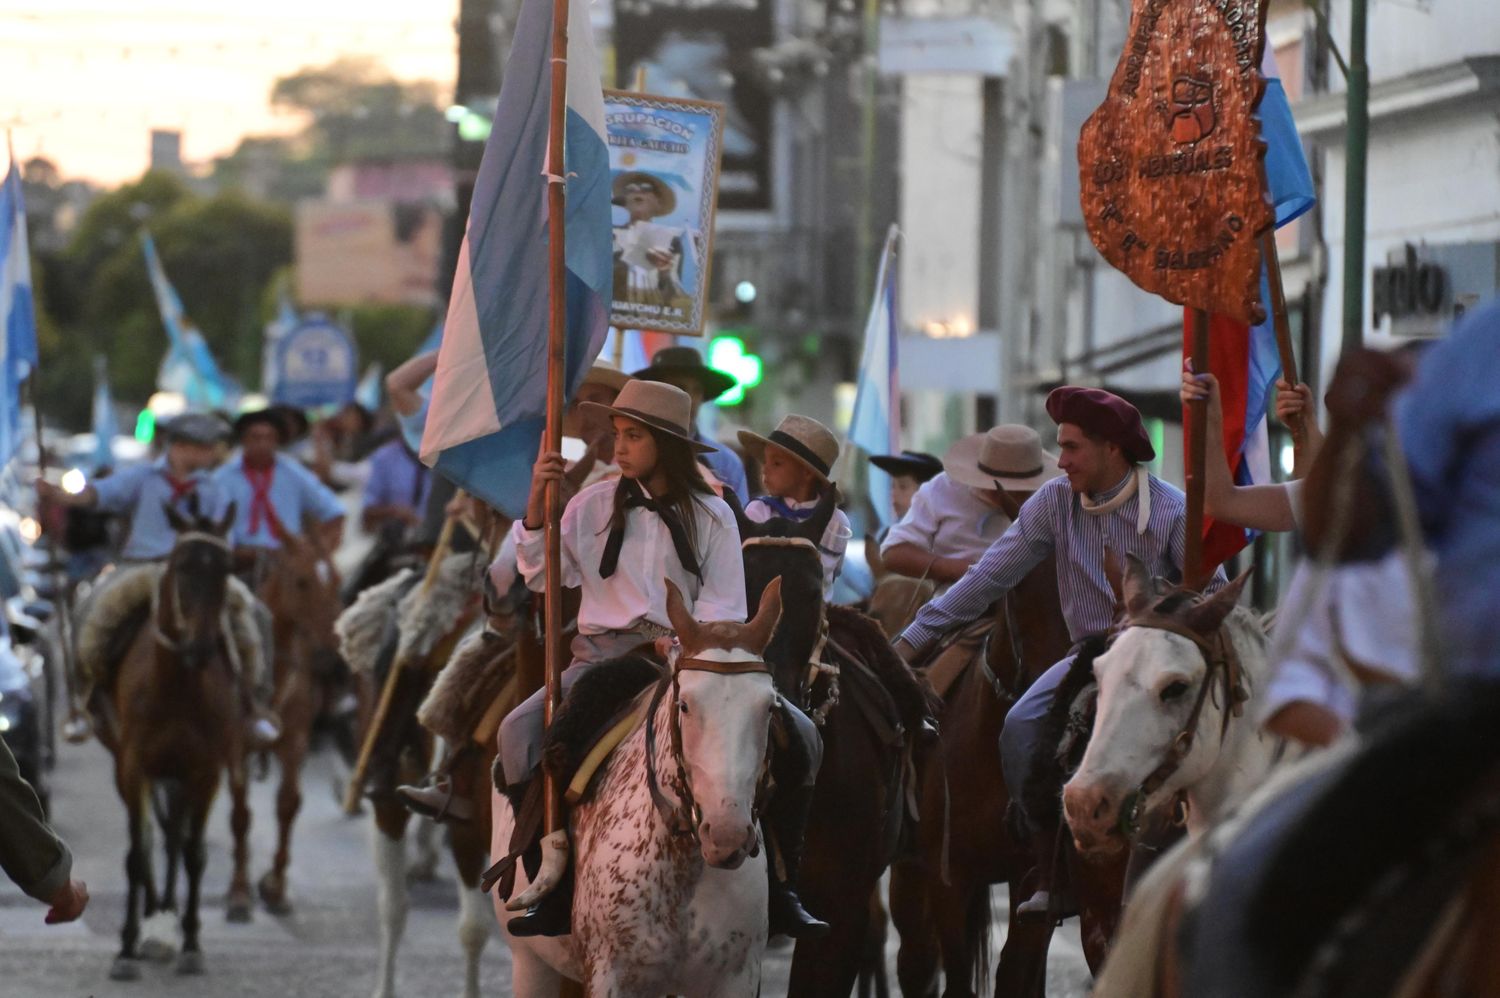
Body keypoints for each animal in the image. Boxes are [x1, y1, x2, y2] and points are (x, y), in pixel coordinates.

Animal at [99, 501, 253, 978]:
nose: (200, 647)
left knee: (174, 835)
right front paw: (126, 947)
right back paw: (153, 913)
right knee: (156, 837)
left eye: (226, 571)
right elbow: (137, 852)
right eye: (181, 566)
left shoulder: (205, 771)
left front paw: (190, 943)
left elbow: (194, 853)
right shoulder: (133, 767)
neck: (177, 687)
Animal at [498, 576, 792, 996]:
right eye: (685, 704)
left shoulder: (736, 977)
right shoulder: (611, 975)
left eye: (769, 707)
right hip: (530, 963)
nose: (727, 835)